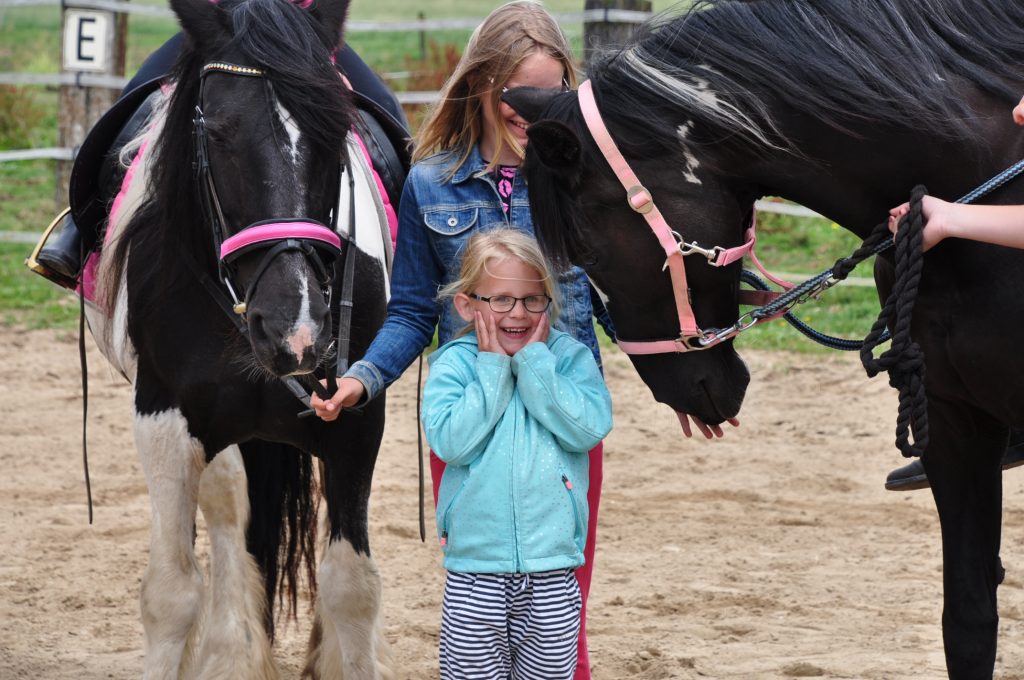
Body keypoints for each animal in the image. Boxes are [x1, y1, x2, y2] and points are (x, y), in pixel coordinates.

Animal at [82, 0, 397, 676]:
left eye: (337, 132)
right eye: (219, 133)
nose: (294, 328)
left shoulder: (357, 417)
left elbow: (352, 587)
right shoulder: (163, 421)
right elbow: (170, 593)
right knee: (228, 509)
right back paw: (230, 651)